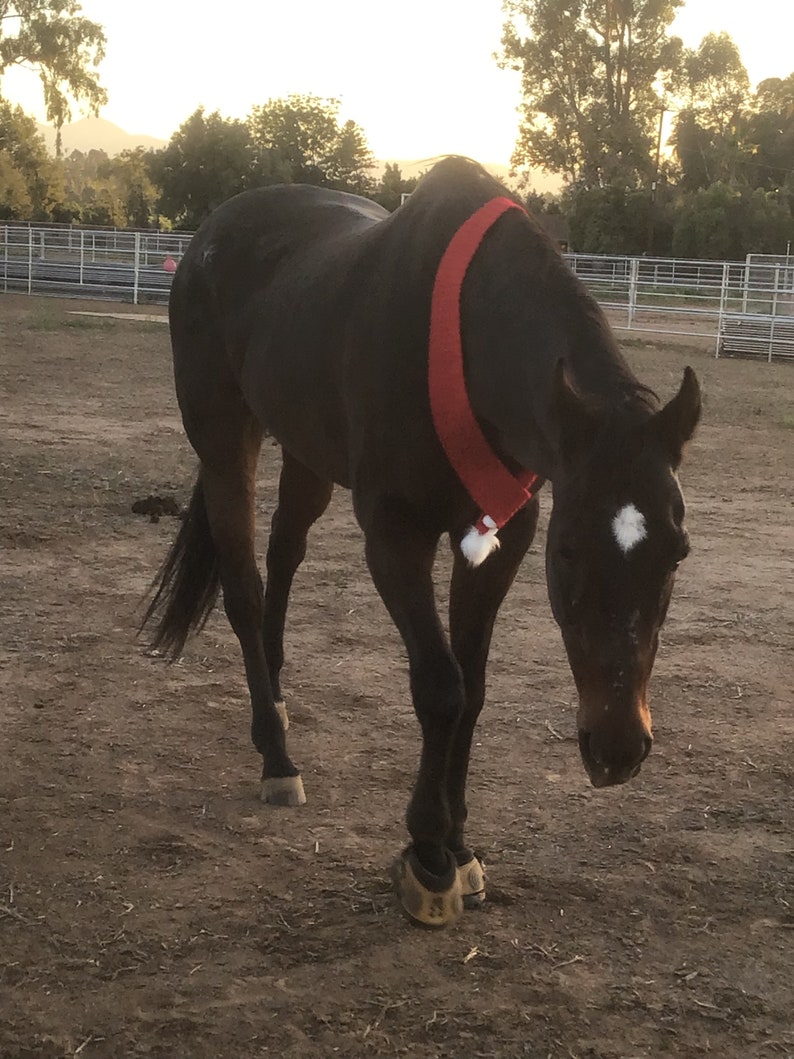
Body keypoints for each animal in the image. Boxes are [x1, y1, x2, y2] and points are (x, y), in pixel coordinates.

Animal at [142, 157, 701, 927]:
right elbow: (441, 686)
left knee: (286, 553)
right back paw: (276, 755)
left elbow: (475, 687)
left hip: (308, 452)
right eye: (568, 552)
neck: (458, 338)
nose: (616, 748)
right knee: (246, 590)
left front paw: (460, 846)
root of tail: (210, 234)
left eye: (677, 552)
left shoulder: (502, 536)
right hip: (227, 444)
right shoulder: (395, 536)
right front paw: (428, 855)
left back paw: (277, 702)